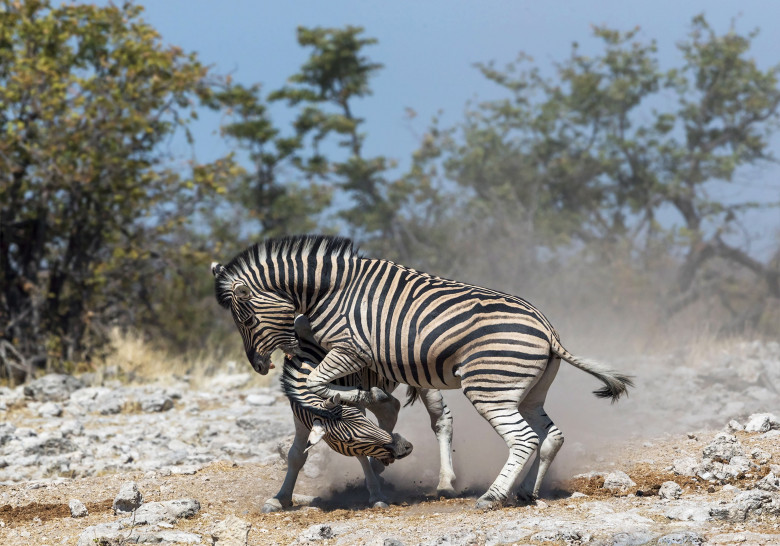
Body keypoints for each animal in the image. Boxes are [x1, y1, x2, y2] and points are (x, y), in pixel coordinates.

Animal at [212, 235, 632, 510]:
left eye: (246, 319)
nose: (259, 366)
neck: (328, 290)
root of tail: (548, 330)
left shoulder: (350, 349)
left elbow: (318, 384)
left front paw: (362, 403)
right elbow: (306, 434)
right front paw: (281, 497)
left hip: (488, 389)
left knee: (520, 437)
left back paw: (490, 496)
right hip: (528, 392)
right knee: (550, 436)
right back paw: (526, 492)